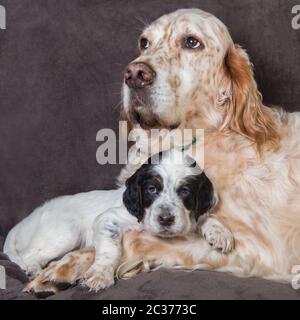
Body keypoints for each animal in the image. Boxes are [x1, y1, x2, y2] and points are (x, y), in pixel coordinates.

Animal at [4, 149, 232, 292]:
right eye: (152, 189)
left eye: (185, 191)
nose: (165, 219)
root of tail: (26, 220)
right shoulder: (108, 219)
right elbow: (110, 250)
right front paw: (100, 275)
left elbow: (203, 218)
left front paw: (220, 233)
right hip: (68, 232)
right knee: (29, 255)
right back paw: (34, 270)